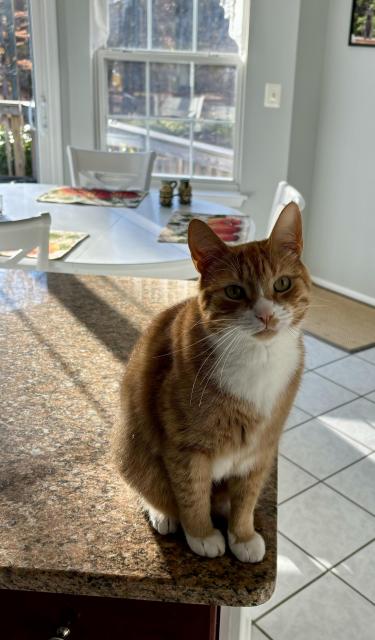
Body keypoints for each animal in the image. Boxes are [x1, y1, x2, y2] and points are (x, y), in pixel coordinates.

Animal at [112, 204, 312, 560]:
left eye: (282, 284)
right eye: (234, 291)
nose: (266, 315)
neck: (258, 359)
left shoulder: (260, 451)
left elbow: (246, 499)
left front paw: (242, 536)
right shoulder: (184, 447)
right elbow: (191, 495)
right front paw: (202, 535)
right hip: (132, 451)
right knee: (150, 488)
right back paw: (163, 514)